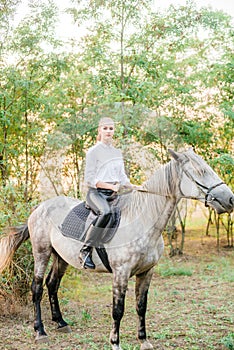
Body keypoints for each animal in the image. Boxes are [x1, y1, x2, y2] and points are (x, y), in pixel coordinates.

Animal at [0, 149, 233, 348]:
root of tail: (39, 207)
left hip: (61, 257)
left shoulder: (147, 272)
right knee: (37, 288)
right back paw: (40, 331)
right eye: (200, 172)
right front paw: (115, 342)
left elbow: (141, 306)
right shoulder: (120, 273)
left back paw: (61, 322)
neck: (144, 221)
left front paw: (144, 341)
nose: (229, 199)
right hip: (42, 251)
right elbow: (118, 310)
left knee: (52, 284)